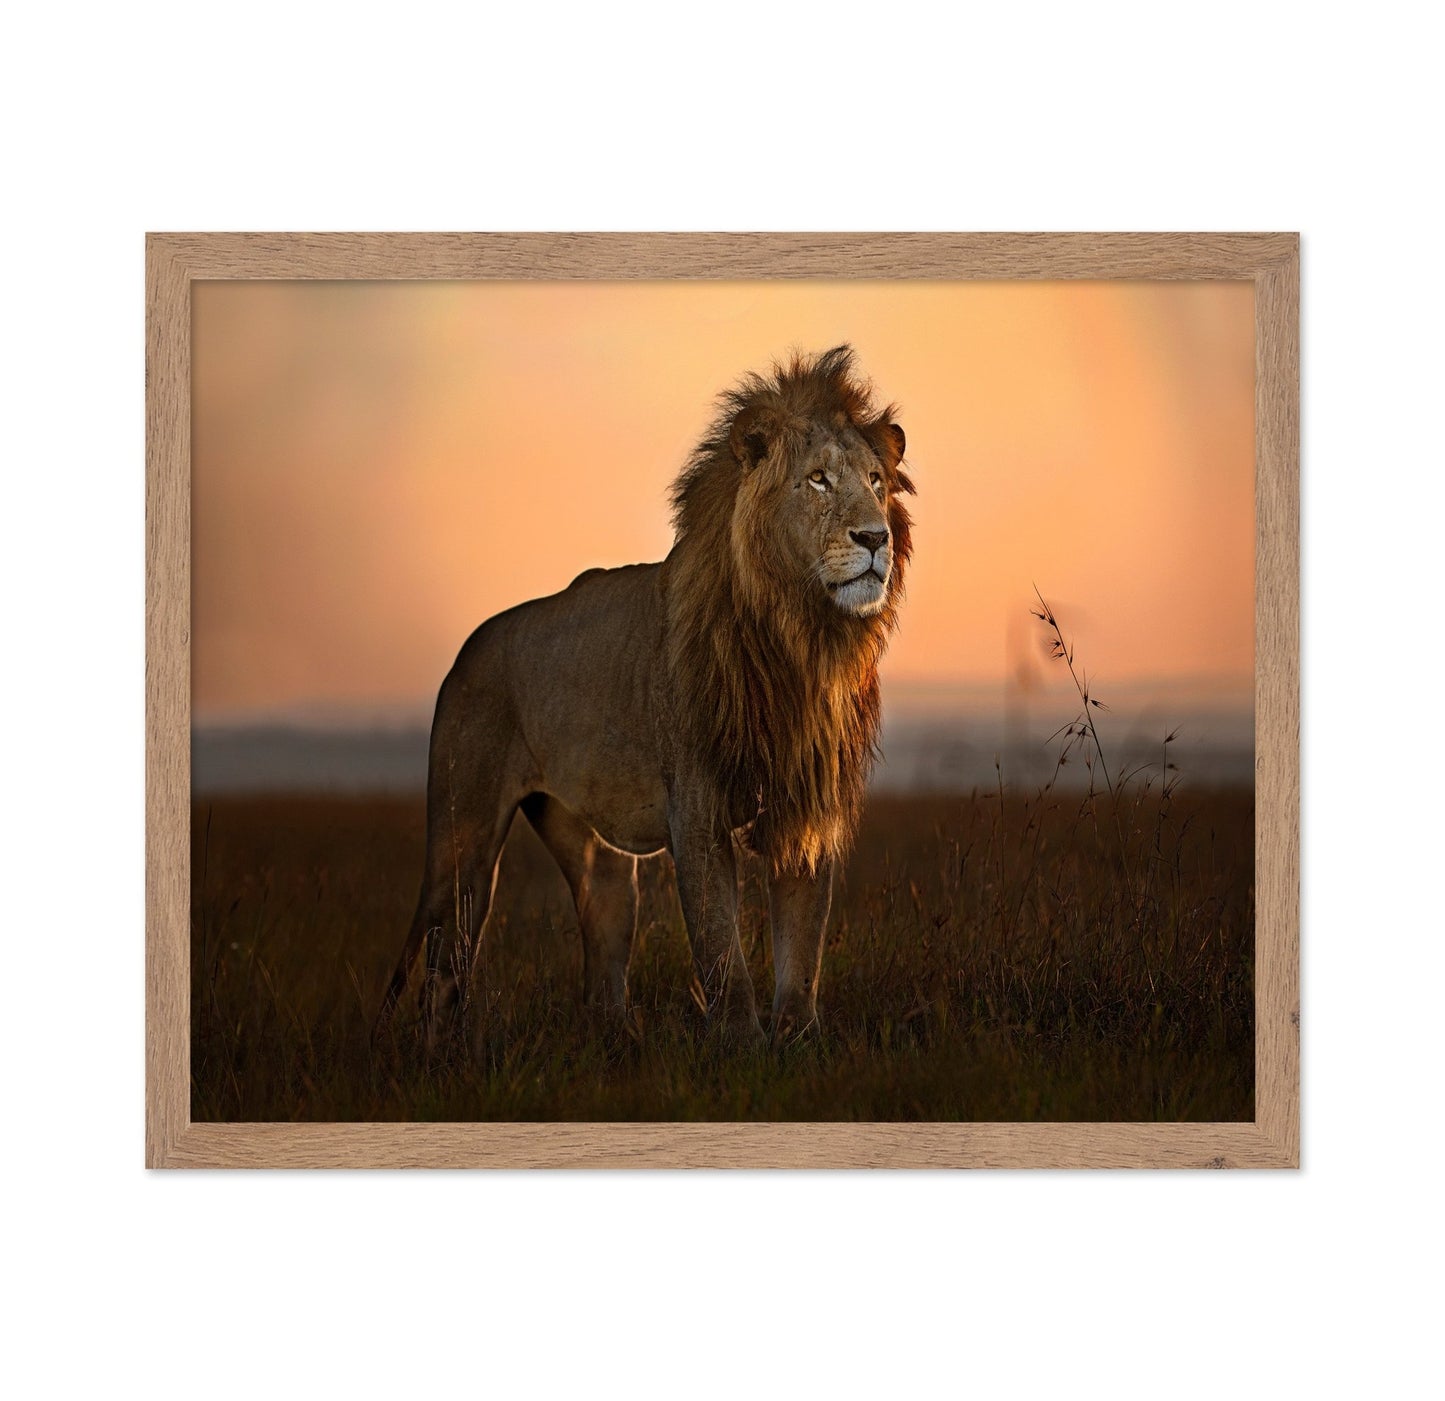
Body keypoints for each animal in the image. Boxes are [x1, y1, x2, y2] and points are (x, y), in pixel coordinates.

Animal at [376, 344, 913, 1049]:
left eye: (876, 481)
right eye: (818, 479)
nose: (875, 538)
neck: (799, 638)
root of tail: (468, 651)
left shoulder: (805, 805)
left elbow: (803, 945)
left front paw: (799, 1041)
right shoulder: (698, 809)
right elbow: (719, 946)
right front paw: (741, 1044)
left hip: (593, 855)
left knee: (602, 949)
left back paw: (615, 1043)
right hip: (461, 840)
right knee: (445, 960)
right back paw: (443, 1055)